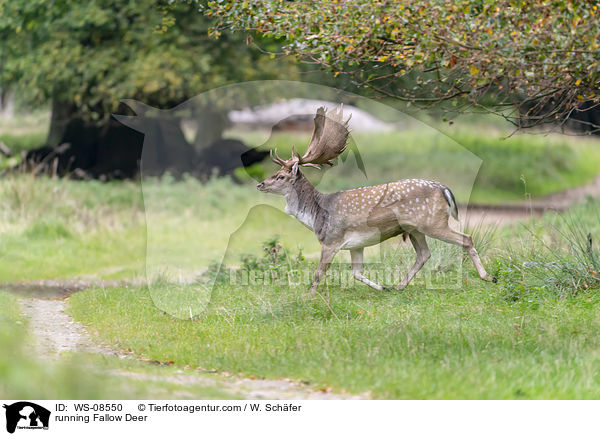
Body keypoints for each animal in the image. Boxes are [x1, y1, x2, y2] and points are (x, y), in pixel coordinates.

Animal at [255, 106, 494, 294]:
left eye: (281, 176)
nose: (260, 184)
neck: (317, 216)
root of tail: (444, 189)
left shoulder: (331, 240)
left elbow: (318, 273)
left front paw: (309, 296)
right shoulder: (355, 245)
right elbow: (356, 273)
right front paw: (383, 287)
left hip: (433, 222)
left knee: (466, 238)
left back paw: (488, 276)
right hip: (415, 229)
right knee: (424, 254)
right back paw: (398, 286)